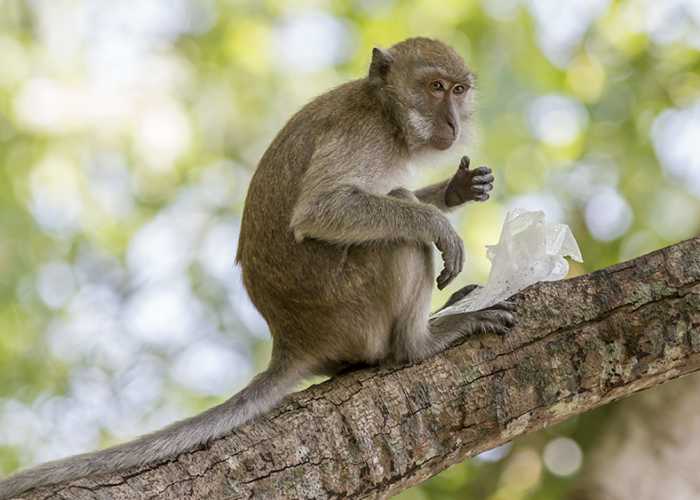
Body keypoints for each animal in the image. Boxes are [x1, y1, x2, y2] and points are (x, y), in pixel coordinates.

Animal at [0, 37, 516, 498]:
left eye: (459, 90)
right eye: (435, 86)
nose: (452, 120)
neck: (386, 113)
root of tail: (292, 339)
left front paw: (456, 189)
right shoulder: (363, 138)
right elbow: (322, 212)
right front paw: (439, 223)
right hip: (352, 307)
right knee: (401, 233)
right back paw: (420, 344)